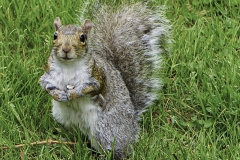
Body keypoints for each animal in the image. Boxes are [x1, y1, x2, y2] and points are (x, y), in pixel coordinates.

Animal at [39, 2, 171, 159]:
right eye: (55, 35)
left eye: (83, 38)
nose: (66, 49)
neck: (68, 66)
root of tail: (133, 124)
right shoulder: (48, 74)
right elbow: (45, 85)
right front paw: (57, 94)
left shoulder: (98, 76)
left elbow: (91, 88)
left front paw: (73, 93)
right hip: (65, 119)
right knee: (74, 134)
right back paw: (65, 140)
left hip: (106, 129)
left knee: (116, 148)